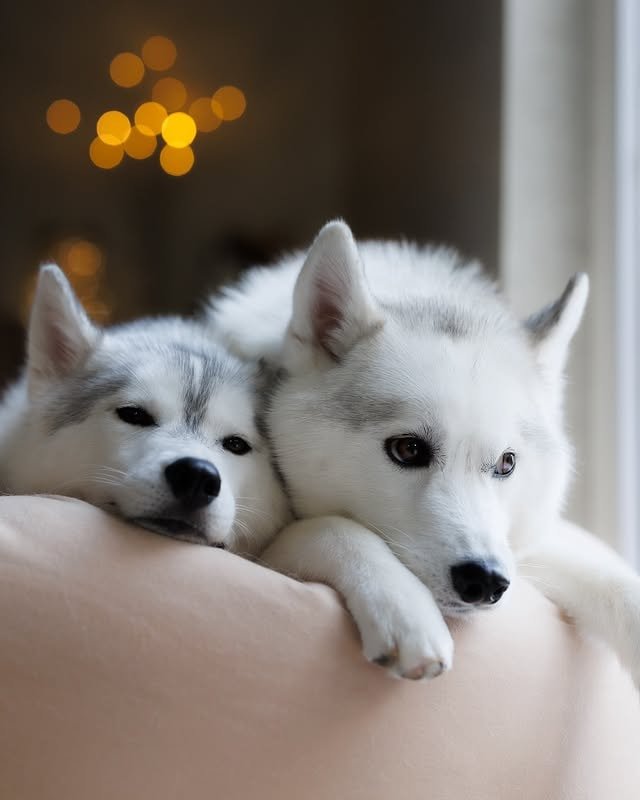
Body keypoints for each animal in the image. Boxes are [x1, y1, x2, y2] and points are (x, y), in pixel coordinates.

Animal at [211, 219, 640, 680]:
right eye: (407, 449)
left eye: (506, 463)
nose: (486, 580)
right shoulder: (266, 546)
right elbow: (334, 527)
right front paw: (404, 608)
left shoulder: (523, 549)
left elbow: (610, 576)